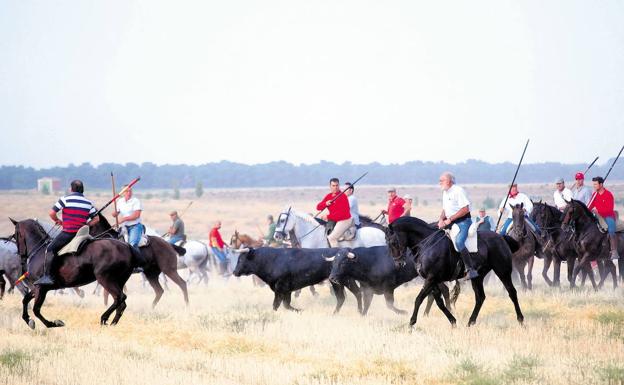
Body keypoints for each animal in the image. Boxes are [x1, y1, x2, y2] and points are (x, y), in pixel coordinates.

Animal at [11, 218, 139, 328]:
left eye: (15, 235)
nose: (21, 259)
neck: (40, 250)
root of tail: (127, 247)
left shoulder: (40, 288)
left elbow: (36, 309)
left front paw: (54, 323)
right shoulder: (39, 287)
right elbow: (25, 299)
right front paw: (28, 320)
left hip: (105, 279)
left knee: (119, 297)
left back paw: (104, 318)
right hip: (119, 281)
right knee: (122, 303)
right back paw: (112, 323)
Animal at [386, 216, 520, 328]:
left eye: (393, 242)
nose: (398, 263)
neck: (426, 244)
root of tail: (501, 237)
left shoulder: (431, 278)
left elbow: (419, 299)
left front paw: (411, 323)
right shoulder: (433, 280)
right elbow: (439, 302)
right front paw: (453, 321)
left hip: (502, 271)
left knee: (512, 292)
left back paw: (521, 320)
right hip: (478, 277)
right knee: (480, 297)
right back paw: (470, 322)